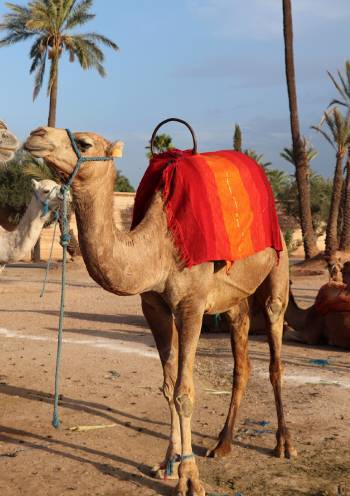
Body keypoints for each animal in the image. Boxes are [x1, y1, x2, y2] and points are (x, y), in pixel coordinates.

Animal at [24, 128, 296, 496]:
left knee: (275, 352)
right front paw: (168, 464)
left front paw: (190, 479)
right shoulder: (153, 307)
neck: (158, 249)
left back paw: (284, 443)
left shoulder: (192, 305)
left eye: (84, 143)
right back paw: (222, 444)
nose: (36, 134)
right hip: (233, 300)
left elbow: (184, 392)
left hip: (278, 270)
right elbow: (168, 388)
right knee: (242, 359)